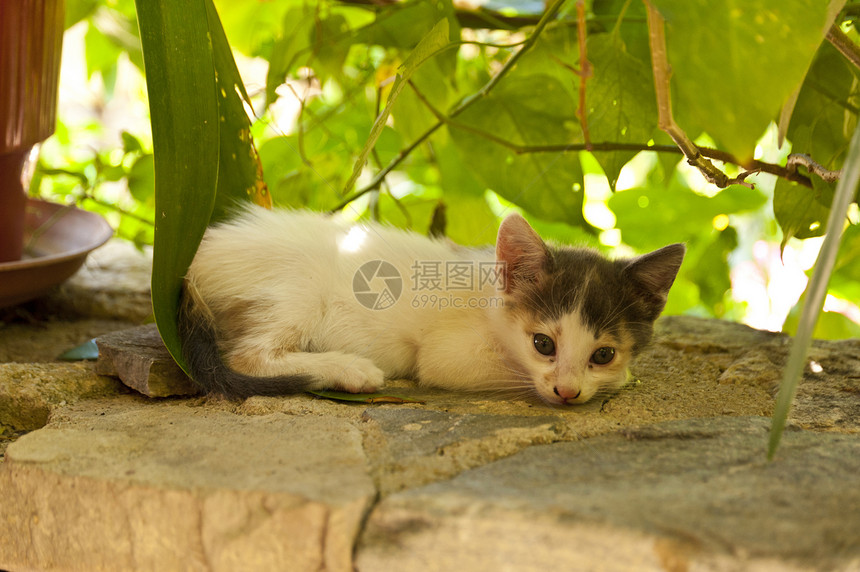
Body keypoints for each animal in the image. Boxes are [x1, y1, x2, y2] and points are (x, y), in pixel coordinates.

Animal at [180, 208, 684, 404]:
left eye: (603, 353)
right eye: (543, 344)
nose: (567, 392)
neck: (490, 303)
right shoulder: (447, 356)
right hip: (299, 284)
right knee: (247, 356)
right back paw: (350, 370)